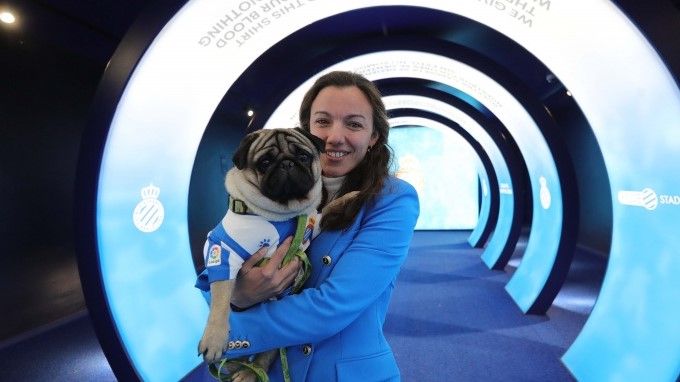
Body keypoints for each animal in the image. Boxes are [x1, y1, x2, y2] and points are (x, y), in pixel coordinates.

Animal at [197, 127, 356, 382]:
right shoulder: (223, 251)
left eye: (303, 156)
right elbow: (220, 300)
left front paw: (350, 197)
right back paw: (242, 370)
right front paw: (214, 338)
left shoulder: (312, 222)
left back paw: (250, 372)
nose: (287, 164)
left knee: (268, 351)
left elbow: (326, 211)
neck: (282, 215)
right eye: (265, 162)